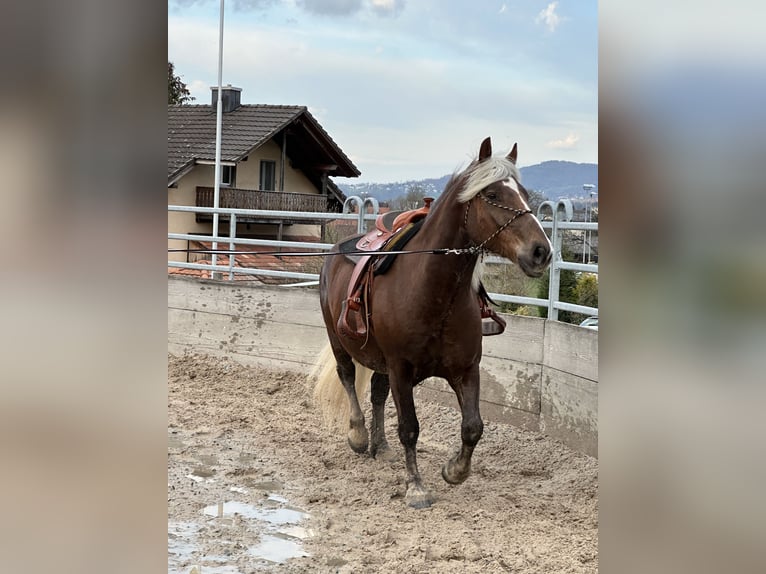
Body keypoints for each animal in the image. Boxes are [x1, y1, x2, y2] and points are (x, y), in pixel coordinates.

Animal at [314, 137, 552, 508]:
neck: (435, 293)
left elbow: (473, 426)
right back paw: (359, 434)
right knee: (348, 377)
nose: (541, 251)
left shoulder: (465, 368)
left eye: (524, 193)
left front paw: (454, 470)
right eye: (492, 194)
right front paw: (416, 487)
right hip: (339, 341)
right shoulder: (400, 369)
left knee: (377, 393)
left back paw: (380, 447)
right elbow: (410, 428)